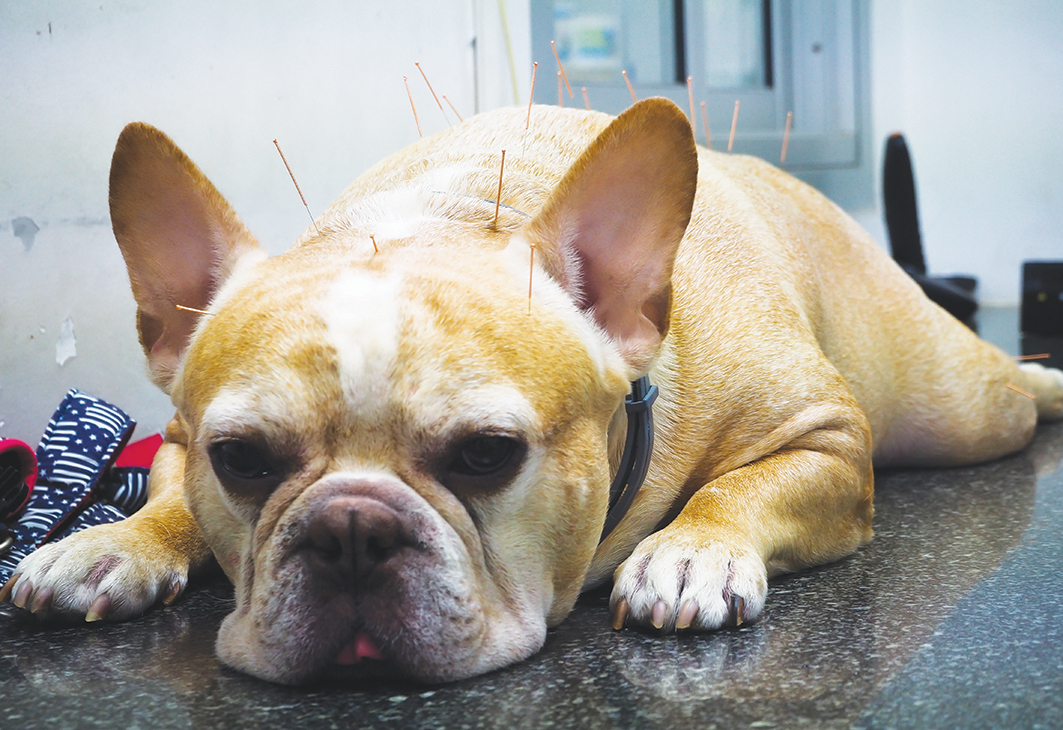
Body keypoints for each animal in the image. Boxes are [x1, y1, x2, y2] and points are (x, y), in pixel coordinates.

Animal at [6, 98, 1063, 684]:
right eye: (243, 461)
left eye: (486, 455)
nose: (349, 528)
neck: (450, 212)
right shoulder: (181, 438)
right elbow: (169, 497)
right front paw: (109, 543)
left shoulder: (824, 437)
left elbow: (742, 485)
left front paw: (693, 552)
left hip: (956, 404)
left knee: (1006, 389)